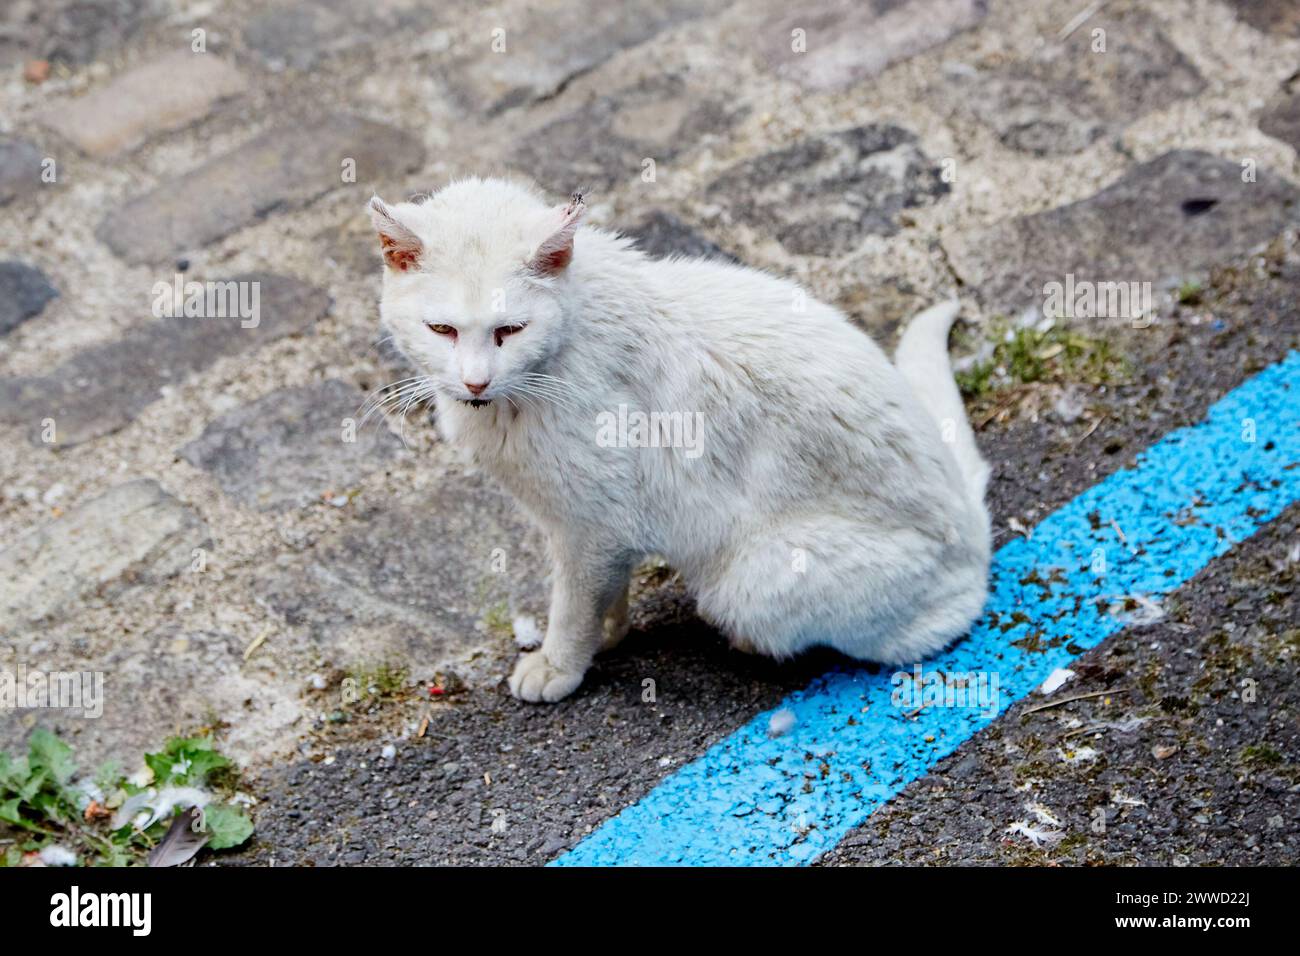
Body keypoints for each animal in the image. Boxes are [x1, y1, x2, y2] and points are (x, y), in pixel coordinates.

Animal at [371, 178, 987, 702]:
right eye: (442, 330)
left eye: (510, 331)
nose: (475, 381)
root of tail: (972, 527)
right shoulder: (601, 532)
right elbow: (607, 591)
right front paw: (610, 634)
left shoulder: (590, 527)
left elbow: (573, 605)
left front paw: (561, 663)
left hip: (752, 580)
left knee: (935, 628)